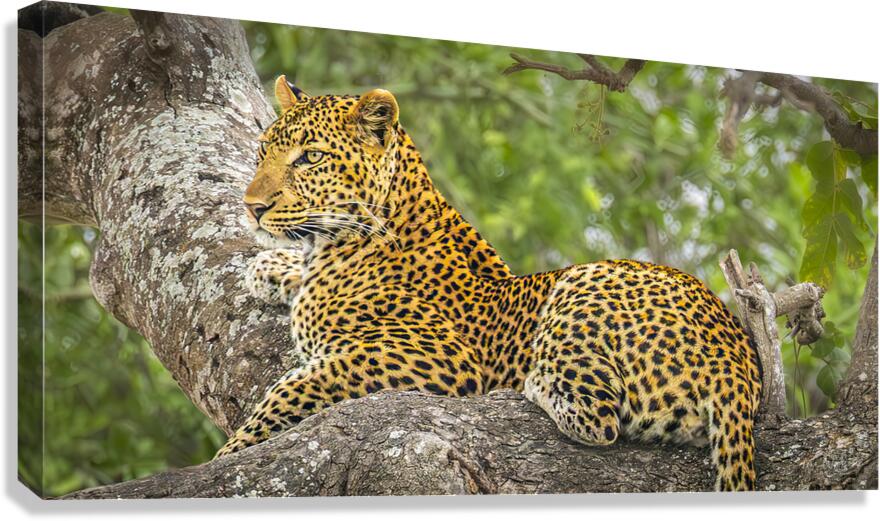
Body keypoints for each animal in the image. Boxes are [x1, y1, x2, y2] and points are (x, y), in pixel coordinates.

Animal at [214, 75, 763, 492]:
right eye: (263, 150)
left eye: (310, 158)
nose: (252, 206)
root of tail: (738, 369)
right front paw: (270, 267)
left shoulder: (438, 357)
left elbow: (292, 390)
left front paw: (225, 457)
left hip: (584, 281)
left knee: (598, 415)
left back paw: (534, 379)